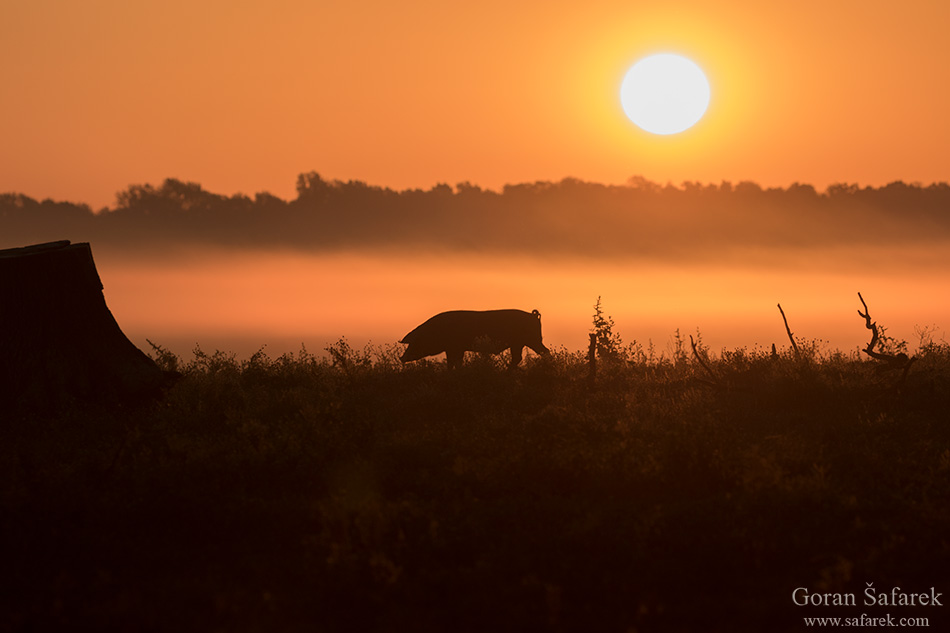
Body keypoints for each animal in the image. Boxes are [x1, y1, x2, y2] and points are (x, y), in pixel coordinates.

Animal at [400, 308, 552, 368]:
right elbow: (452, 363)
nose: (401, 358)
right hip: (520, 343)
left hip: (530, 340)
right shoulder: (451, 349)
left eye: (414, 342)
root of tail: (533, 316)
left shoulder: (456, 347)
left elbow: (456, 362)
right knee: (520, 357)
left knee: (544, 352)